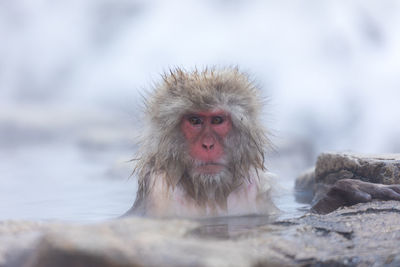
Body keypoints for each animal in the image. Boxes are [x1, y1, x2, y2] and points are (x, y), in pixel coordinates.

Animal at [126, 67, 400, 218]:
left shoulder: (254, 189)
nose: (207, 145)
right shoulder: (159, 190)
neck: (209, 192)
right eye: (194, 120)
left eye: (217, 120)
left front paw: (343, 193)